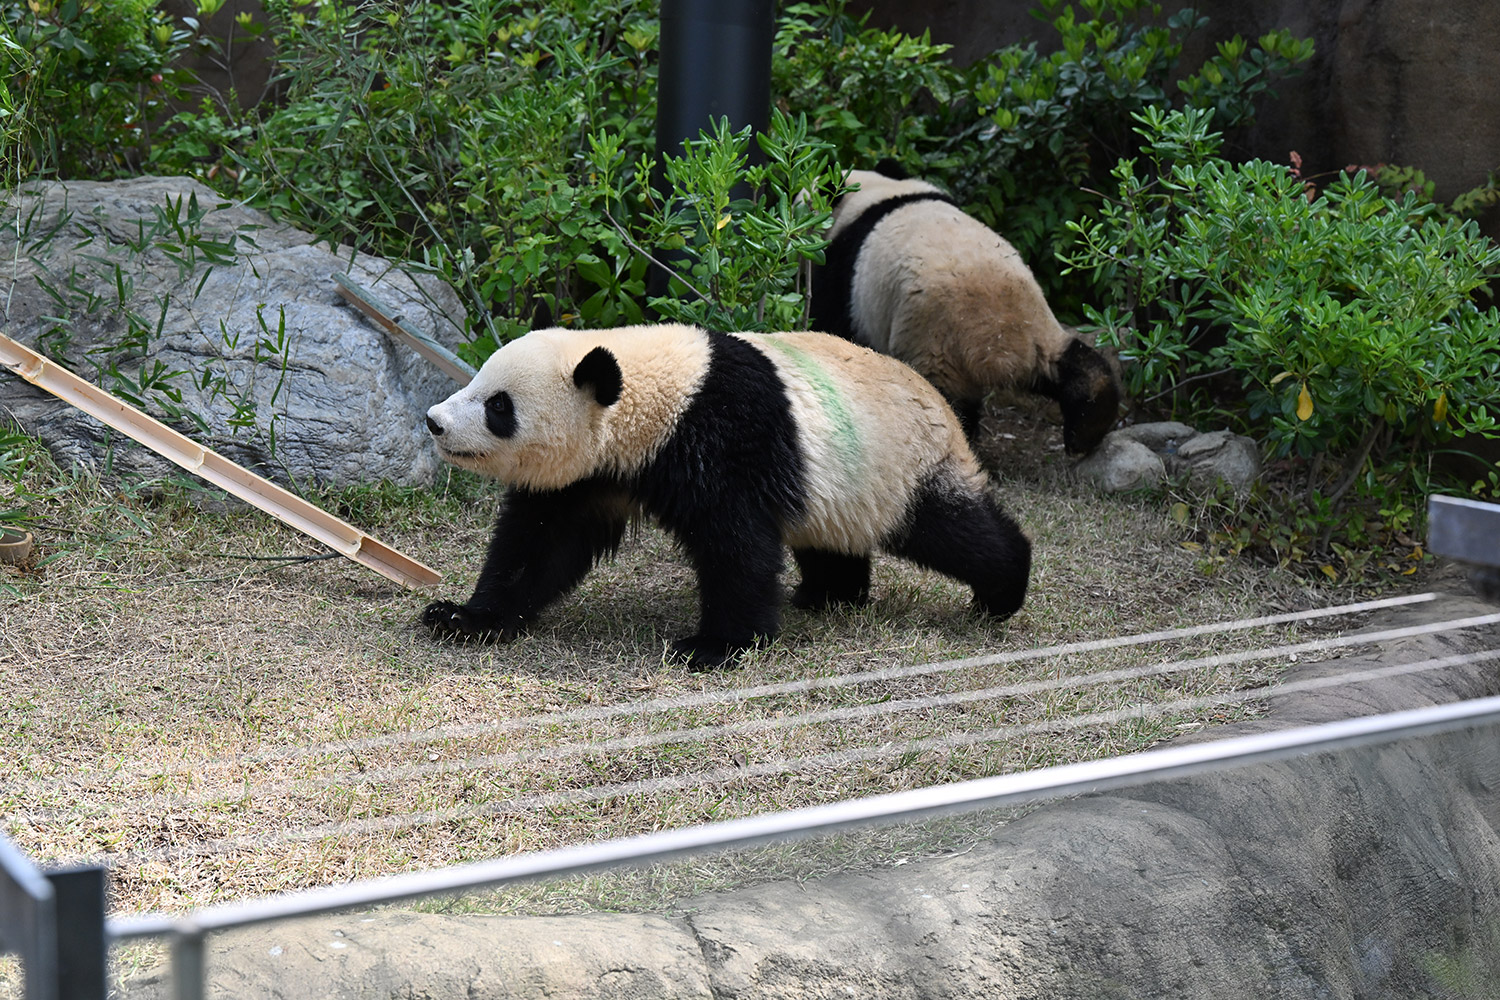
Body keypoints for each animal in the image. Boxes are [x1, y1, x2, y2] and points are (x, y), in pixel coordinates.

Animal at [423, 322, 1032, 665]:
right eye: (477, 381)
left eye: (498, 405)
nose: (434, 422)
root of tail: (944, 405)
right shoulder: (593, 473)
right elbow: (540, 544)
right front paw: (462, 618)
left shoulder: (726, 437)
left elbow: (736, 546)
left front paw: (712, 648)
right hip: (836, 484)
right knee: (832, 538)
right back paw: (828, 595)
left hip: (900, 464)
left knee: (949, 529)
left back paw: (1001, 592)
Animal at [816, 169, 1122, 458]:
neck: (874, 191)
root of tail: (997, 346)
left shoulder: (844, 275)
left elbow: (834, 324)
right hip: (1038, 327)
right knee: (1074, 365)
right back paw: (1088, 428)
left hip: (933, 341)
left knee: (946, 403)